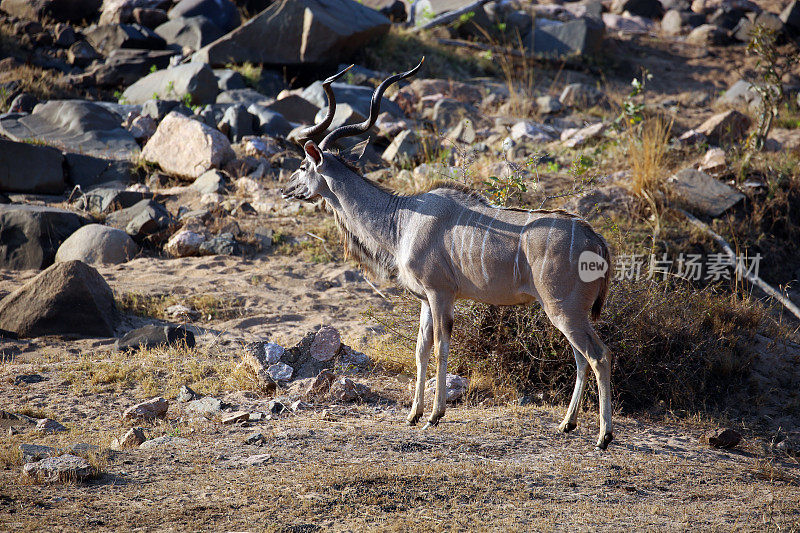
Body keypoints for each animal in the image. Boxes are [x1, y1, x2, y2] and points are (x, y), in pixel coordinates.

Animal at [284, 58, 616, 448]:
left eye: (303, 166)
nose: (287, 189)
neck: (402, 218)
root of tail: (595, 238)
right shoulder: (426, 300)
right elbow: (421, 349)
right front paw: (413, 414)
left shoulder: (440, 294)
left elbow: (442, 346)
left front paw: (434, 415)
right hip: (568, 314)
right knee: (581, 358)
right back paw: (567, 424)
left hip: (563, 310)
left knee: (598, 356)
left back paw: (604, 436)